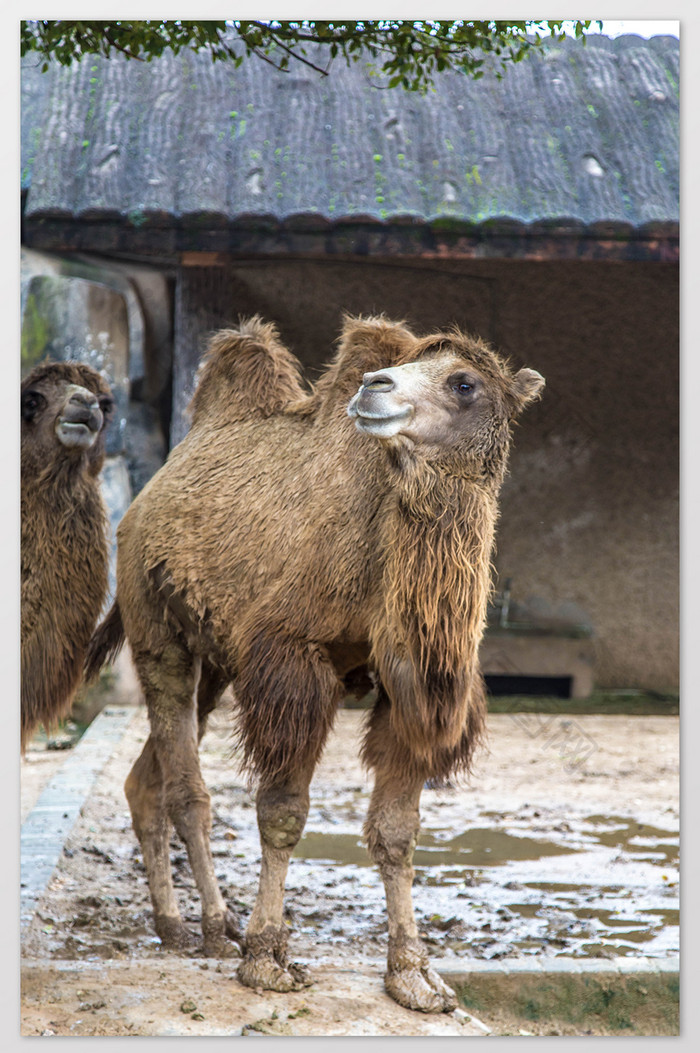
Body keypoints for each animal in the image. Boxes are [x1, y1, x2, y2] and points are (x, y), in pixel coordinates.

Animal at [87, 315, 543, 1015]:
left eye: (464, 383)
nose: (374, 387)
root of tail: (144, 498)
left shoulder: (409, 686)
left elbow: (397, 829)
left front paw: (414, 975)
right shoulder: (292, 659)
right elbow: (282, 813)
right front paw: (267, 958)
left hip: (218, 659)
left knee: (149, 778)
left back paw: (172, 923)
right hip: (156, 624)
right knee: (187, 787)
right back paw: (214, 927)